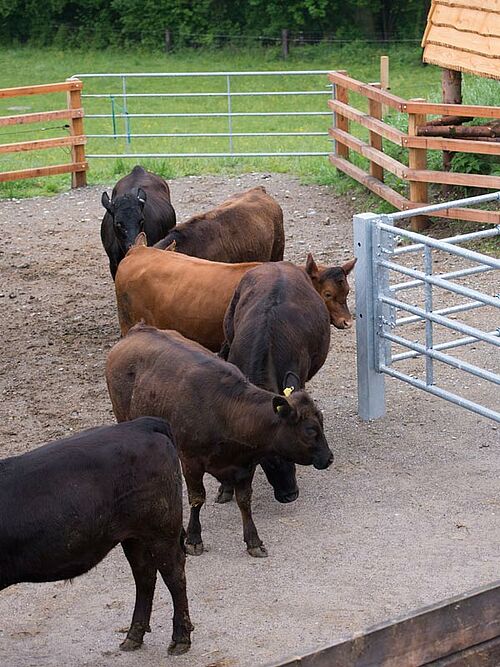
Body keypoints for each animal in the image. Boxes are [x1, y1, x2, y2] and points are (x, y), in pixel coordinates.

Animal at [0, 420, 191, 656]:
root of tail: (142, 424)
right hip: (134, 536)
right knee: (145, 574)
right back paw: (133, 636)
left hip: (162, 531)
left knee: (174, 576)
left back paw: (181, 639)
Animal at [105, 324, 332, 560]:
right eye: (310, 430)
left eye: (321, 421)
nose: (328, 458)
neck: (227, 413)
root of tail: (139, 330)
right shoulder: (191, 462)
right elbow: (197, 499)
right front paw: (194, 539)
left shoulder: (245, 465)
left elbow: (245, 501)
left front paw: (253, 541)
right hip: (125, 418)